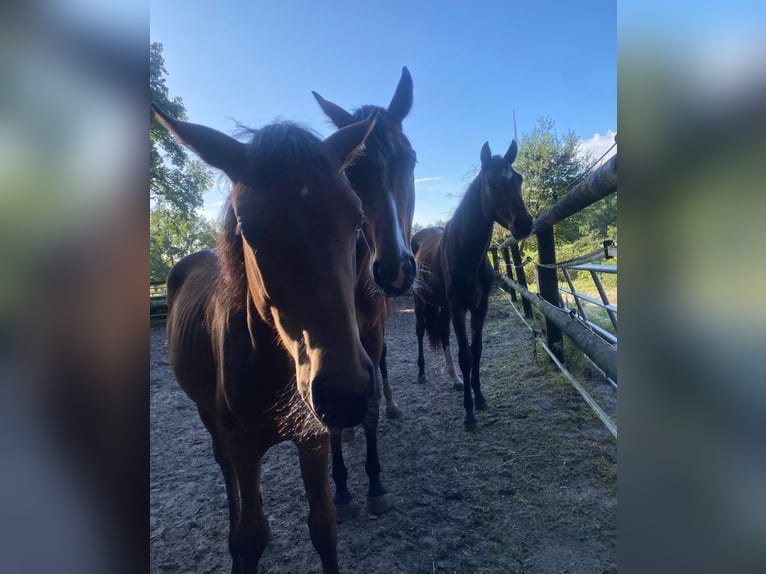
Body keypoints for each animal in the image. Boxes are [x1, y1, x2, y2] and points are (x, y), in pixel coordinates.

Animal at [153, 104, 378, 574]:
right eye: (249, 229)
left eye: (357, 221)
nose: (346, 393)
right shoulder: (242, 446)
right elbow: (253, 534)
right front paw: (242, 545)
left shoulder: (313, 438)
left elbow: (324, 525)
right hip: (210, 418)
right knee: (223, 468)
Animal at [411, 139, 533, 431]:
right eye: (490, 183)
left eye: (518, 179)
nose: (525, 224)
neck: (465, 253)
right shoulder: (458, 308)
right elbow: (465, 355)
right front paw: (468, 412)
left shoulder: (480, 307)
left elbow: (476, 351)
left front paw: (479, 397)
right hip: (420, 301)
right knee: (420, 332)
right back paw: (421, 373)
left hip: (442, 306)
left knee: (443, 336)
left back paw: (455, 380)